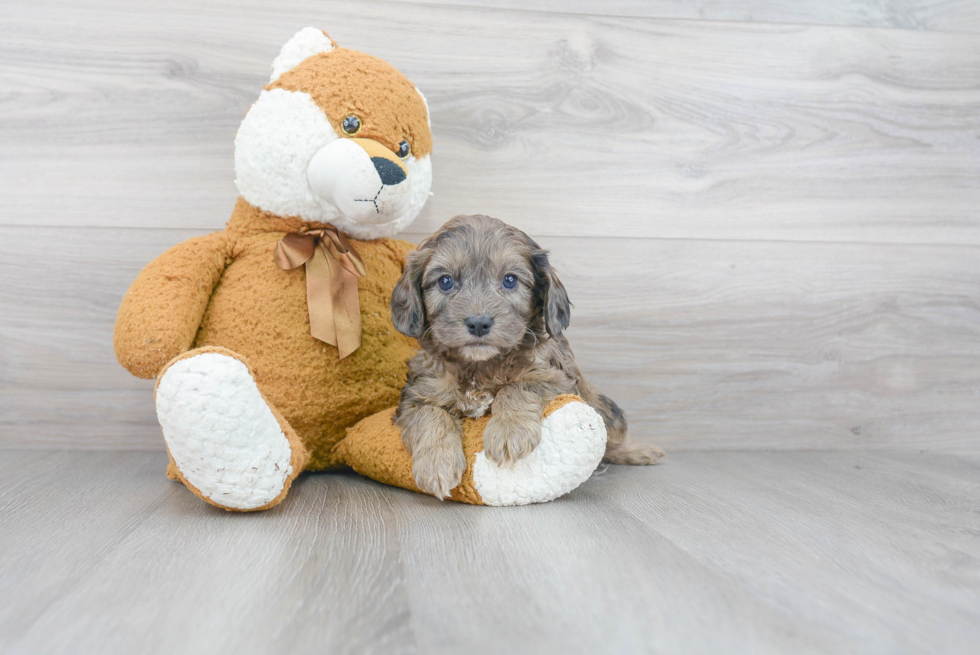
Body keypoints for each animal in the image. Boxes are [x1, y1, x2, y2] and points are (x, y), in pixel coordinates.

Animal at [390, 215, 668, 498]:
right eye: (445, 281)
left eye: (510, 280)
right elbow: (430, 415)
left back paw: (641, 452)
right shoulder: (417, 394)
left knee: (614, 437)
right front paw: (436, 465)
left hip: (605, 408)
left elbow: (517, 387)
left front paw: (508, 433)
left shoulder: (559, 380)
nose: (478, 323)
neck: (479, 368)